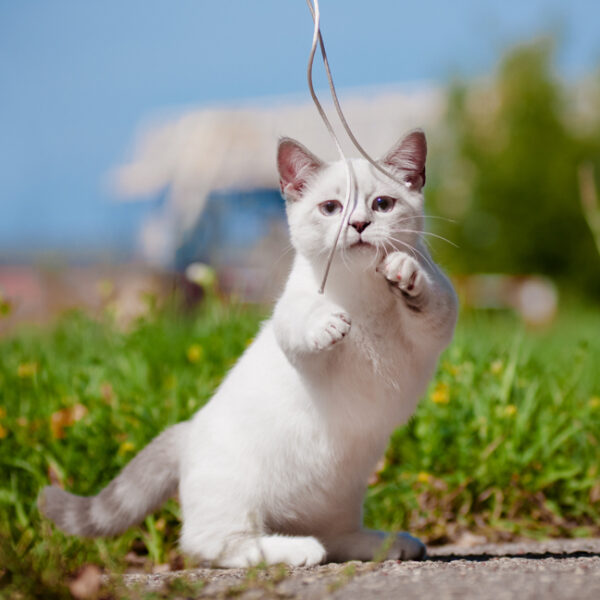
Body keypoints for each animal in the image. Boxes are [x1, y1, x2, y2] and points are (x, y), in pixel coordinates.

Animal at [38, 130, 460, 568]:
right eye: (331, 208)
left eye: (382, 204)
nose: (358, 224)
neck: (360, 292)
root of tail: (187, 431)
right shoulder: (295, 330)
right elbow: (300, 323)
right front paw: (327, 322)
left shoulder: (438, 323)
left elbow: (431, 298)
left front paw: (404, 272)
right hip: (238, 501)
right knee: (219, 545)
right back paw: (298, 549)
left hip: (340, 497)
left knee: (335, 537)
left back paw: (385, 544)